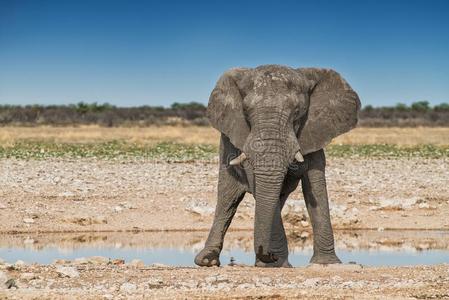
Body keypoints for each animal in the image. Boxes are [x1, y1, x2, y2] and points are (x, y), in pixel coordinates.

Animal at [193, 65, 360, 268]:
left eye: (297, 112)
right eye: (246, 111)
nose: (268, 256)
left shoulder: (314, 134)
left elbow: (316, 188)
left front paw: (327, 263)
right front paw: (278, 265)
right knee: (227, 198)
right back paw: (207, 261)